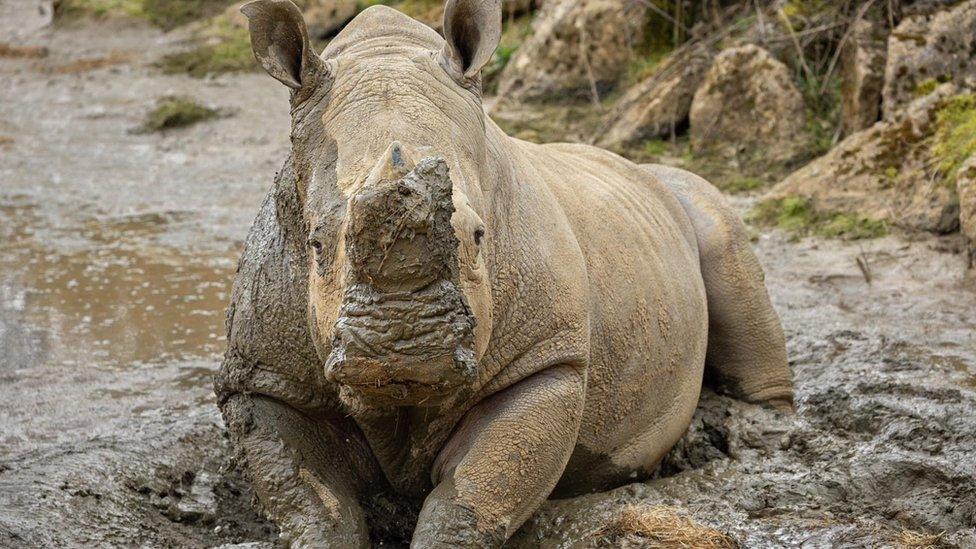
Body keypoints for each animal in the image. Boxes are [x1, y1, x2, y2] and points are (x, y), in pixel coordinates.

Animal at [214, 2, 792, 544]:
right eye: (315, 244)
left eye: (477, 236)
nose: (402, 349)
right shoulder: (263, 378)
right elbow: (314, 504)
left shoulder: (548, 359)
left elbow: (473, 493)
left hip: (689, 196)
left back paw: (766, 434)